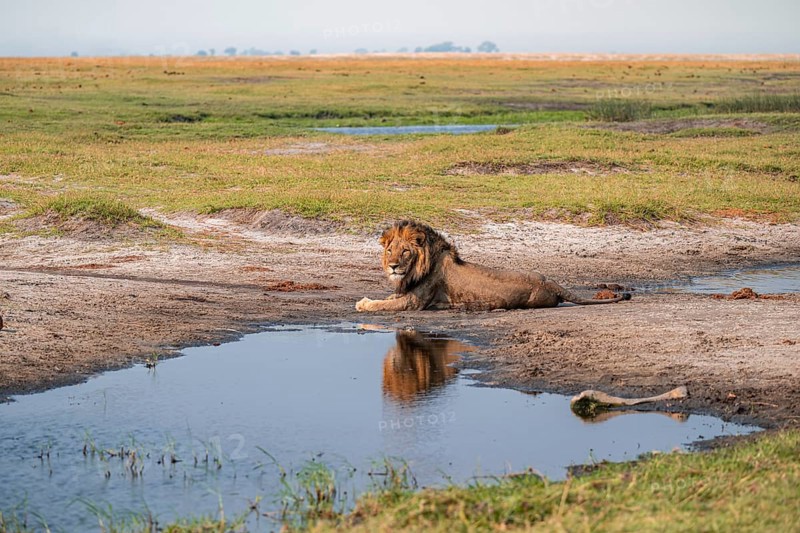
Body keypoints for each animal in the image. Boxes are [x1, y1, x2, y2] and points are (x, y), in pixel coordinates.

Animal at [356, 220, 631, 312]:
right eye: (389, 251)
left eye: (405, 251)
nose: (393, 266)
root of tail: (551, 282)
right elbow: (389, 296)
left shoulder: (415, 301)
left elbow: (385, 304)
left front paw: (364, 304)